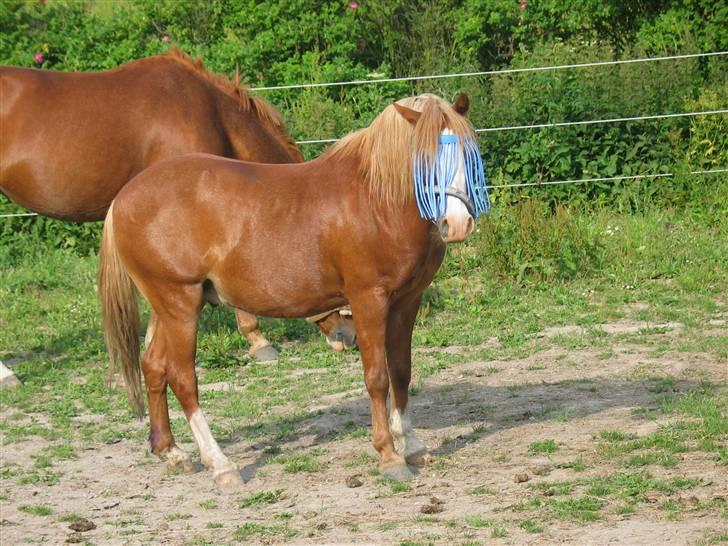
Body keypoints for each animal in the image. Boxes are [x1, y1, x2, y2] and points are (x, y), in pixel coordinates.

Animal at [98, 92, 490, 489]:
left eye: (467, 153)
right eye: (424, 158)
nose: (457, 224)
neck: (379, 200)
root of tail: (122, 199)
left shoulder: (406, 302)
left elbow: (401, 371)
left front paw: (411, 444)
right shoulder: (369, 301)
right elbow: (378, 378)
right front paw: (389, 455)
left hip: (168, 307)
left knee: (153, 365)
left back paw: (171, 451)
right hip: (179, 303)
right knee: (182, 378)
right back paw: (221, 464)